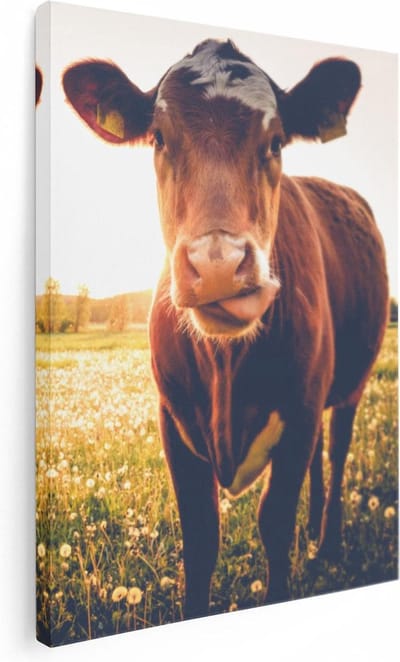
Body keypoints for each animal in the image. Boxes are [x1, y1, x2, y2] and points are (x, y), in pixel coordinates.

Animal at [63, 39, 388, 619]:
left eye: (276, 141)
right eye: (159, 138)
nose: (217, 264)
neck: (226, 367)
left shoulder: (300, 411)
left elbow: (274, 523)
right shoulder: (173, 420)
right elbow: (200, 539)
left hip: (351, 381)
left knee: (337, 449)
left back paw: (325, 542)